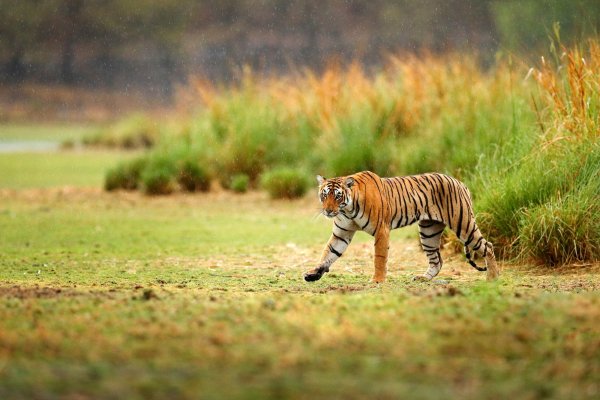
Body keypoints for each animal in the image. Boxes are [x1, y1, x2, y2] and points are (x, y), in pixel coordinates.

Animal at [302, 170, 500, 282]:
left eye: (337, 196)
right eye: (324, 194)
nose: (328, 211)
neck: (348, 209)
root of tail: (460, 182)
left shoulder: (381, 230)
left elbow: (379, 257)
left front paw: (377, 280)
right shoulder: (341, 233)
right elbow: (328, 253)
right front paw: (313, 274)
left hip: (463, 224)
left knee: (487, 246)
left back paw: (493, 277)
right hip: (428, 232)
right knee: (437, 260)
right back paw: (423, 278)